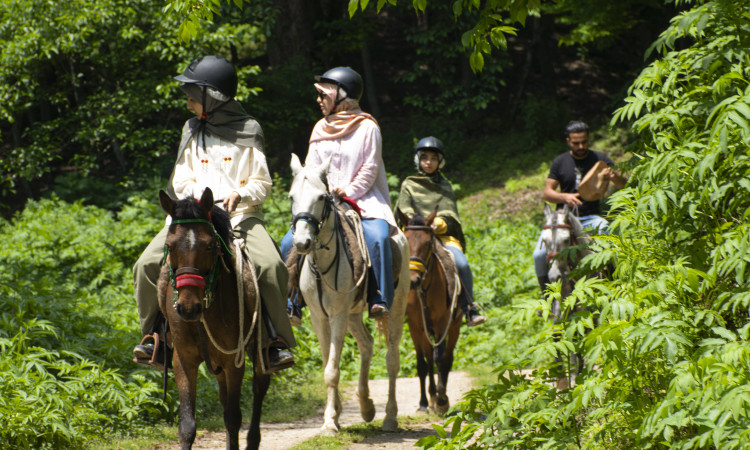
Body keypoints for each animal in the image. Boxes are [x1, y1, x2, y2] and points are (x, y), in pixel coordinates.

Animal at [159, 187, 274, 450]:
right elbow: (187, 426)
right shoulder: (184, 360)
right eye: (170, 246)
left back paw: (253, 440)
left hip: (259, 349)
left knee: (259, 387)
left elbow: (233, 417)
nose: (188, 308)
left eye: (210, 246)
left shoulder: (234, 362)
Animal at [290, 154, 412, 432]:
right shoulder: (319, 317)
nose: (302, 243)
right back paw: (366, 407)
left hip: (395, 308)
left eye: (321, 197)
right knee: (367, 344)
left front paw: (329, 423)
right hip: (354, 315)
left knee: (392, 360)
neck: (321, 264)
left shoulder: (337, 315)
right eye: (292, 197)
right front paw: (334, 414)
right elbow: (328, 364)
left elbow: (332, 370)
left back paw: (389, 417)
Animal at [400, 209, 464, 414]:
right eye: (406, 240)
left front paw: (442, 399)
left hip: (454, 325)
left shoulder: (443, 322)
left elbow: (441, 358)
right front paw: (424, 402)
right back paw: (431, 395)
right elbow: (422, 364)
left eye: (428, 243)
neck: (425, 290)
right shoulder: (415, 325)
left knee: (447, 357)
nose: (413, 280)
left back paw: (440, 397)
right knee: (429, 359)